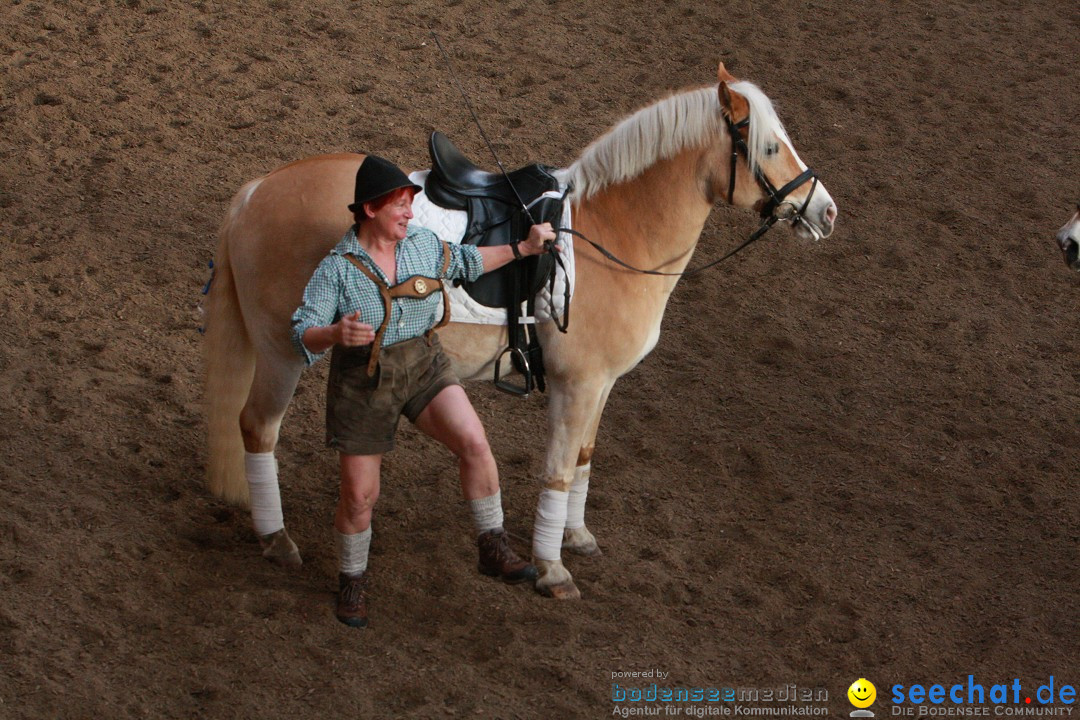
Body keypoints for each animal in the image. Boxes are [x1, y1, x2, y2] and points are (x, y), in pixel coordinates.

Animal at [206, 64, 838, 600]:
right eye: (769, 146)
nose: (826, 211)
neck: (613, 232)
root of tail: (256, 190)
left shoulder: (602, 385)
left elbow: (583, 455)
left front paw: (576, 538)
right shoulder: (576, 384)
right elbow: (557, 470)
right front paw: (552, 569)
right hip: (282, 353)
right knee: (256, 428)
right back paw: (276, 539)